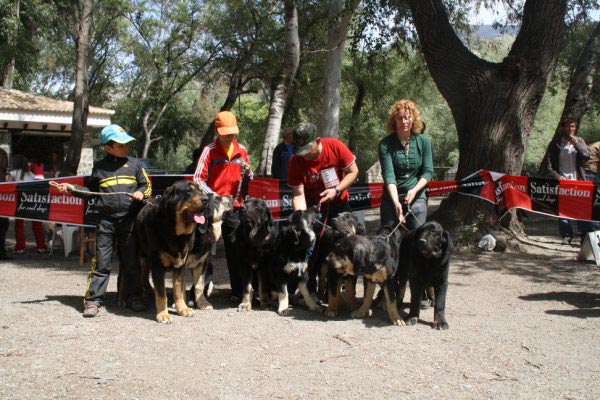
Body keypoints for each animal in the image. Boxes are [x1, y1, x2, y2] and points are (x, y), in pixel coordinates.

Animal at [135, 180, 206, 324]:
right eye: (189, 191)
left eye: (201, 190)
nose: (206, 199)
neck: (175, 233)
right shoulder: (157, 265)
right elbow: (161, 293)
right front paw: (163, 314)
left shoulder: (180, 264)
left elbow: (178, 290)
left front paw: (182, 309)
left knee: (144, 275)